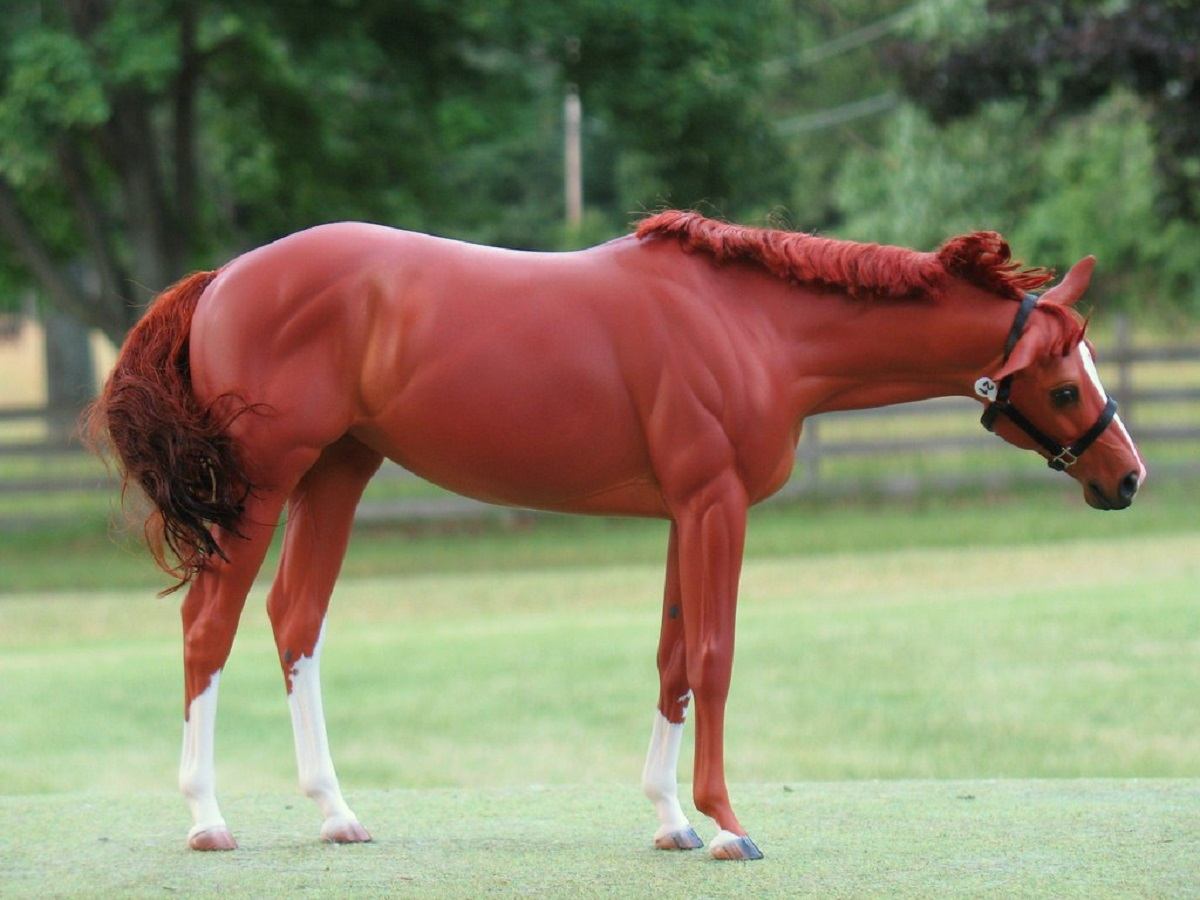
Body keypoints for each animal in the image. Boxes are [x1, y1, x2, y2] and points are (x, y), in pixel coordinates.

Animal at [91, 211, 1142, 859]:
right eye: (1063, 384)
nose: (1127, 477)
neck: (752, 325)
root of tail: (226, 276)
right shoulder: (716, 505)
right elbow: (715, 655)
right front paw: (727, 825)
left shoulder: (686, 511)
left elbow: (673, 656)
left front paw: (671, 819)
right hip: (264, 485)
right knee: (209, 627)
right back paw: (208, 818)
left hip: (337, 473)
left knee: (296, 621)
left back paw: (337, 813)